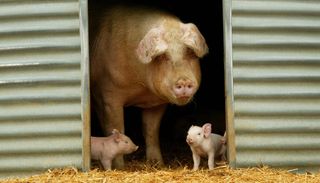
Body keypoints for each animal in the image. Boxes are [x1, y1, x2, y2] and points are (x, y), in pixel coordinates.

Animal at [90, 5, 209, 168]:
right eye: (163, 56)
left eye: (189, 52)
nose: (184, 81)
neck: (142, 89)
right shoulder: (108, 95)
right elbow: (117, 127)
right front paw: (119, 167)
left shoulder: (156, 103)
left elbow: (151, 130)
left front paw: (158, 164)